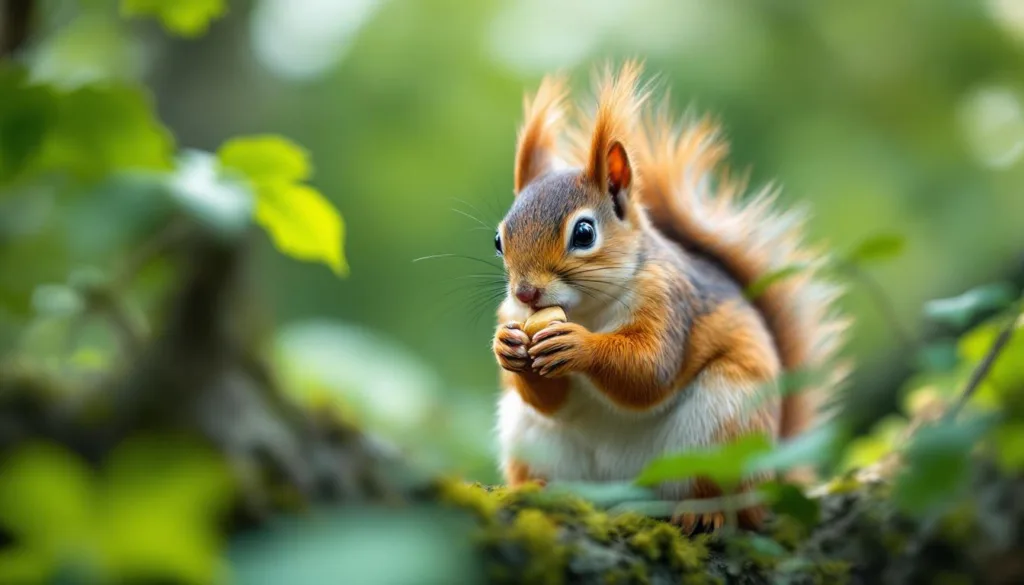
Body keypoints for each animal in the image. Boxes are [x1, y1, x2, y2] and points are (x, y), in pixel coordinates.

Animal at [491, 62, 848, 532]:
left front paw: (579, 346)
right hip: (531, 439)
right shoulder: (511, 314)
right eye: (498, 240)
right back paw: (538, 492)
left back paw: (705, 514)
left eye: (584, 233)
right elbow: (550, 400)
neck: (588, 310)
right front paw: (506, 347)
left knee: (722, 497)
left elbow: (650, 370)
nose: (526, 292)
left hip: (725, 427)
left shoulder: (670, 301)